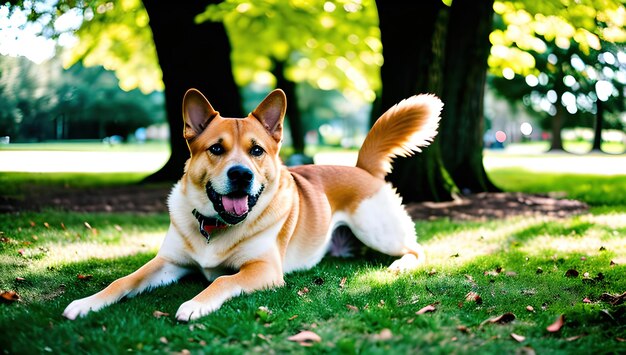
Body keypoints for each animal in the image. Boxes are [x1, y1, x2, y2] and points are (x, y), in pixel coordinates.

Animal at [63, 89, 442, 322]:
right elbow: (124, 280)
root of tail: (362, 168)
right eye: (216, 149)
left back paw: (400, 265)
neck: (214, 226)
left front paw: (195, 304)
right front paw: (87, 303)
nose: (241, 174)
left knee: (417, 249)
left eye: (256, 150)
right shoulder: (168, 263)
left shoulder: (263, 270)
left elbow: (221, 282)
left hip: (376, 231)